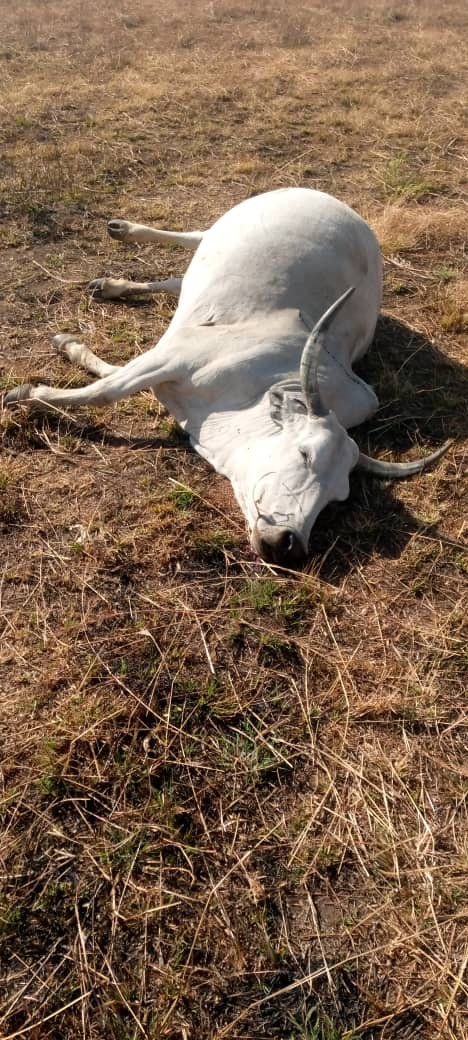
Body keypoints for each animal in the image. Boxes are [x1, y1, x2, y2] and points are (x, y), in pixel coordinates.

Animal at [4, 191, 449, 574]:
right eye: (305, 453)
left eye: (338, 497)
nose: (290, 543)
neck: (257, 390)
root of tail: (340, 206)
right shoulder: (175, 354)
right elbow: (106, 390)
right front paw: (26, 393)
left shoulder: (168, 363)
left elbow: (110, 374)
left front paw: (68, 347)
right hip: (227, 223)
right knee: (191, 238)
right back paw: (123, 230)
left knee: (177, 280)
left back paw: (112, 284)